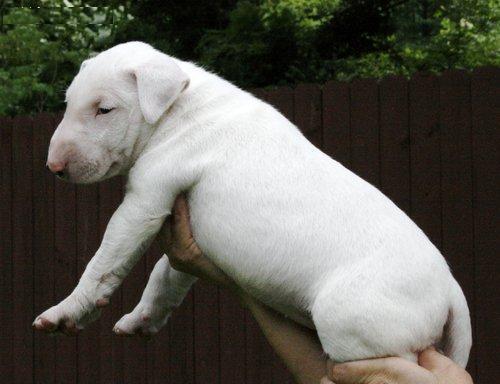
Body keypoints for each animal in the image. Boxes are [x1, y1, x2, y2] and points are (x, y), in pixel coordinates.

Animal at [33, 42, 470, 366]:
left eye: (104, 109)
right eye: (69, 103)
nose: (53, 167)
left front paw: (66, 312)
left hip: (356, 328)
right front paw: (142, 319)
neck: (179, 108)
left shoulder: (146, 199)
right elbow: (166, 274)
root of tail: (450, 291)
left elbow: (103, 263)